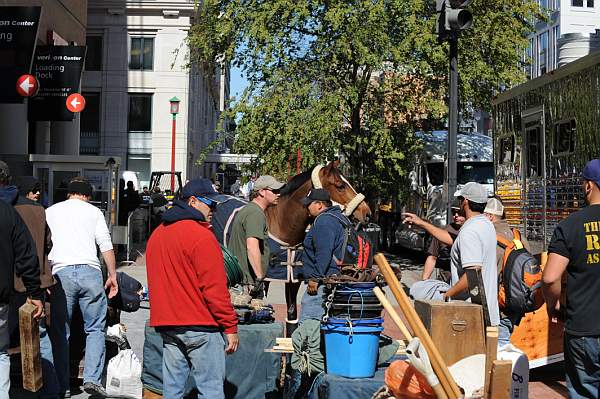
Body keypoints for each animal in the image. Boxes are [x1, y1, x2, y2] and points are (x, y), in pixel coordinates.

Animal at [211, 162, 370, 334]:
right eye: (340, 186)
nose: (366, 212)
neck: (281, 225)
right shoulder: (265, 277)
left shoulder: (292, 278)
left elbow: (292, 314)